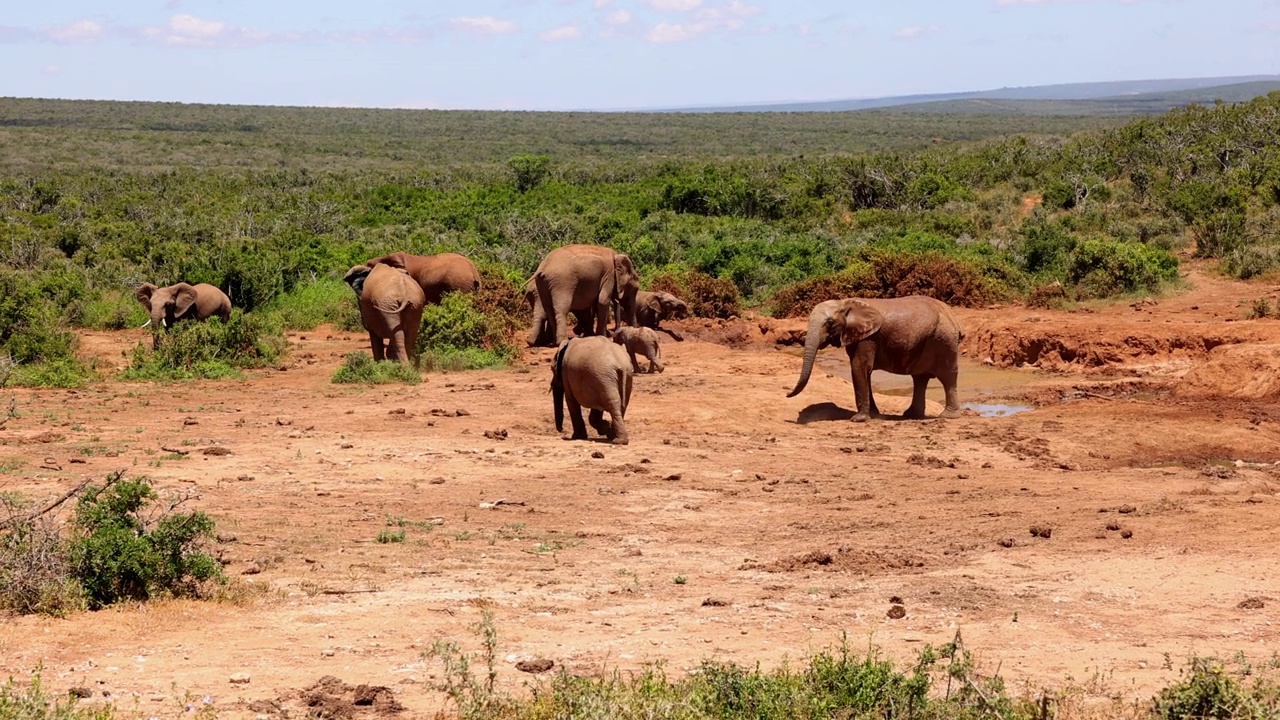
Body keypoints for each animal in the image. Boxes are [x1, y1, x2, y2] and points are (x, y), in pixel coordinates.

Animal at [783, 294, 962, 420]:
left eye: (830, 323)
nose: (786, 394)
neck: (846, 304)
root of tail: (953, 317)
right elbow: (864, 372)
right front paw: (874, 415)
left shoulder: (868, 338)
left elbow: (858, 367)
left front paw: (858, 419)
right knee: (920, 378)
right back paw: (911, 415)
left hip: (944, 341)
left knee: (947, 376)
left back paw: (947, 416)